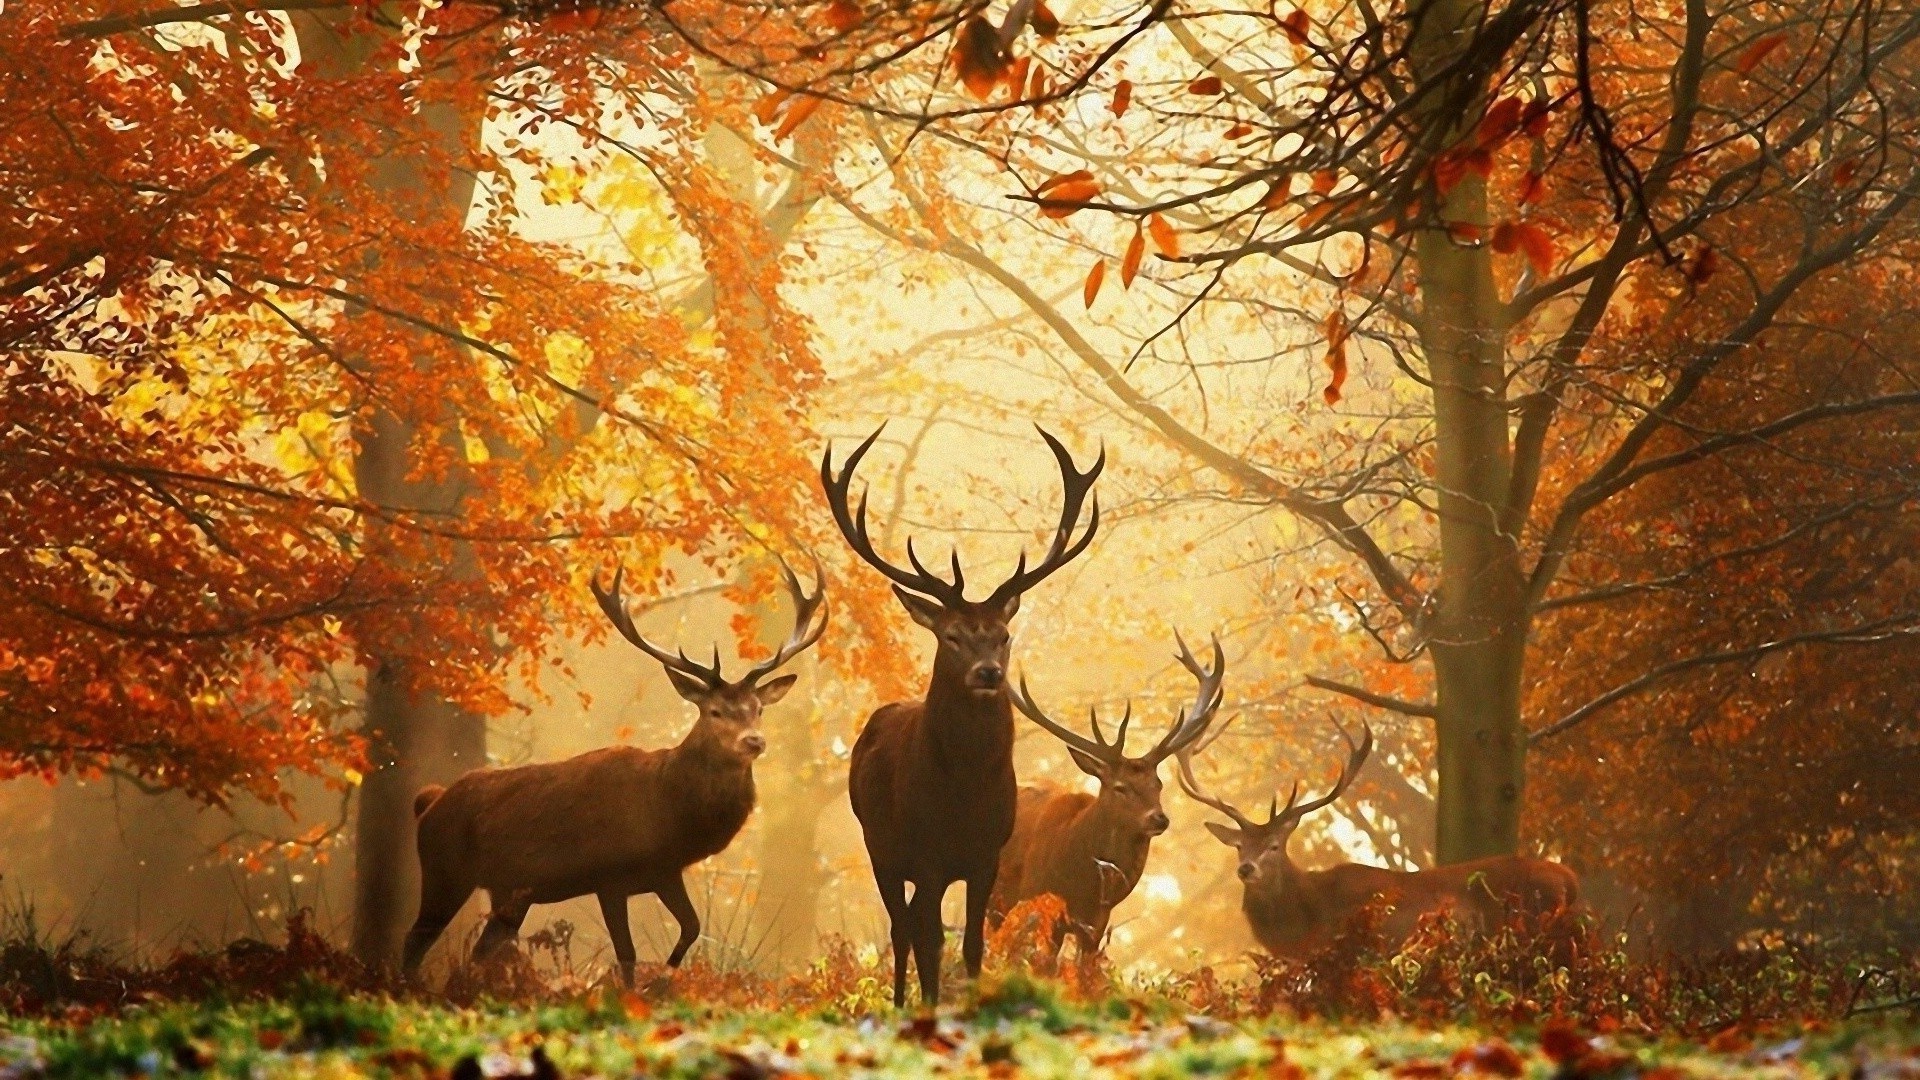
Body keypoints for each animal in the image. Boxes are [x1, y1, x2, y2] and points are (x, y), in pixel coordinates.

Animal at [405, 553, 825, 983]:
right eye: (715, 711)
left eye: (759, 709)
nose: (754, 741)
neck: (667, 812)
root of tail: (430, 801)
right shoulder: (608, 876)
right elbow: (626, 954)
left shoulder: (664, 872)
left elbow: (691, 928)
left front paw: (665, 976)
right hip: (443, 871)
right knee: (414, 941)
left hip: (509, 892)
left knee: (480, 950)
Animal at [817, 424, 1105, 1006]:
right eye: (951, 635)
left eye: (1003, 635)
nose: (988, 673)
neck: (962, 797)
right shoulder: (925, 854)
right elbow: (929, 941)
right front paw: (929, 1006)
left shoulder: (986, 856)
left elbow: (972, 945)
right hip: (879, 845)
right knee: (901, 928)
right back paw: (900, 1002)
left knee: (911, 924)